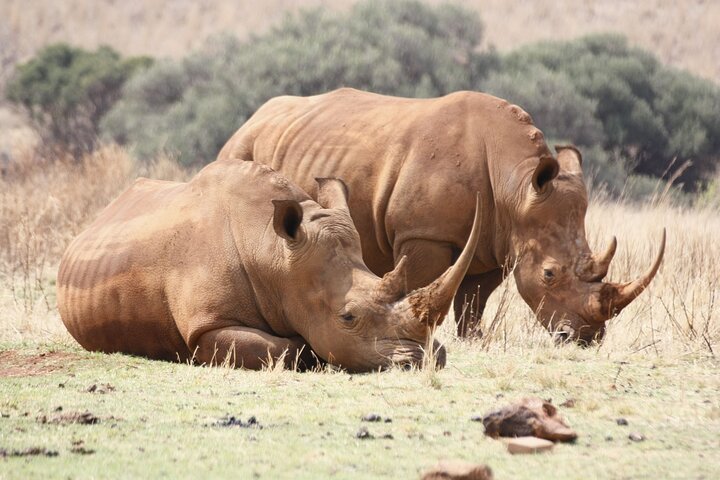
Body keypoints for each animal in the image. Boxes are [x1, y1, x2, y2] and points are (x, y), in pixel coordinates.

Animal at [57, 160, 481, 372]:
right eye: (347, 318)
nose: (423, 361)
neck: (274, 255)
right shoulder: (207, 325)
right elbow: (284, 349)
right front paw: (310, 352)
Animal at [217, 88, 665, 343]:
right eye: (550, 274)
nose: (585, 338)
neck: (516, 184)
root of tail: (253, 117)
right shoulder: (425, 234)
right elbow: (422, 281)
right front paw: (414, 331)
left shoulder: (496, 240)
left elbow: (475, 299)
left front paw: (475, 339)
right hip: (240, 146)